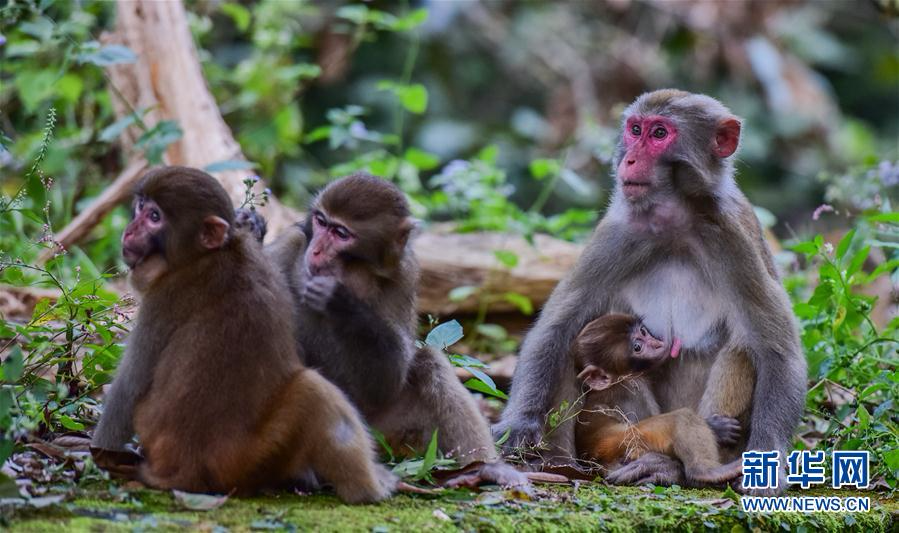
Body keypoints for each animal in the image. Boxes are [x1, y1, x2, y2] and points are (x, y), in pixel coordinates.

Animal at [576, 314, 744, 484]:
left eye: (643, 332)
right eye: (637, 347)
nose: (657, 344)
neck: (616, 381)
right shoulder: (632, 389)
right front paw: (716, 428)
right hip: (625, 442)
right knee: (679, 418)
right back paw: (705, 471)